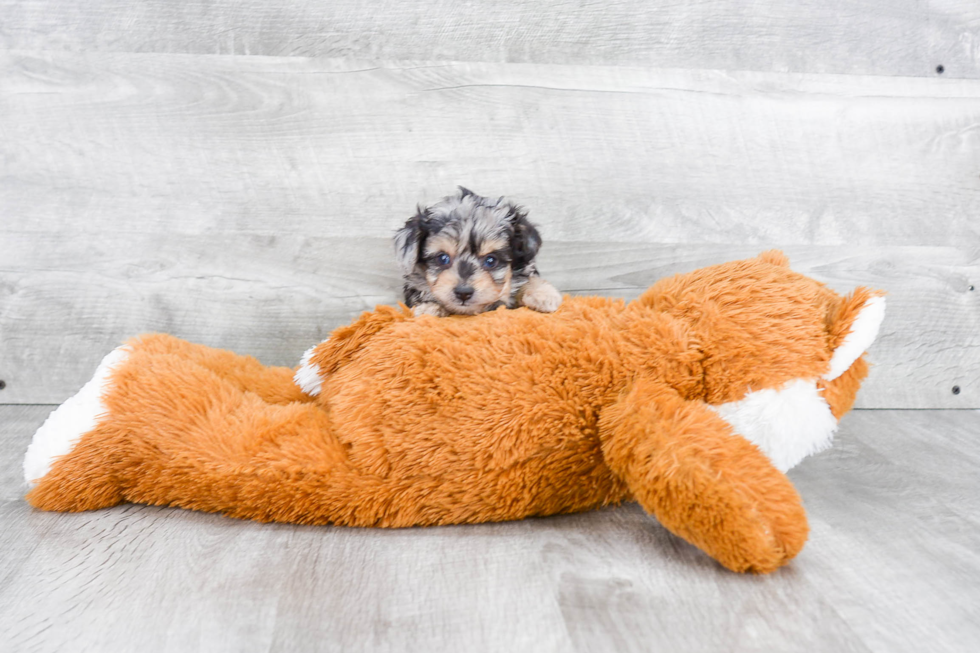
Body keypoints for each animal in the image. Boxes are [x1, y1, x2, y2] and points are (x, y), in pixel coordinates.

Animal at [390, 187, 560, 318]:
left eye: (491, 260)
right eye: (443, 258)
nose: (463, 293)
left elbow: (527, 280)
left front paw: (544, 294)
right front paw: (429, 307)